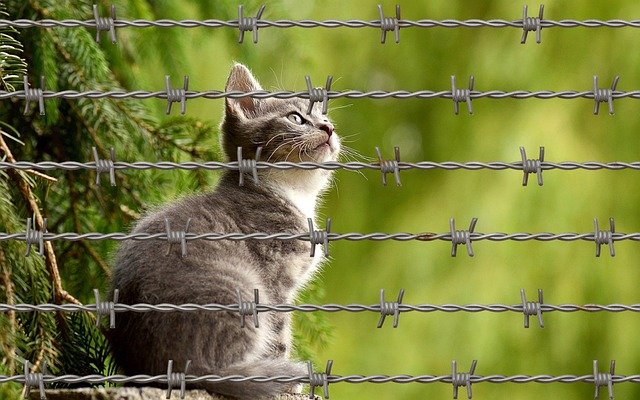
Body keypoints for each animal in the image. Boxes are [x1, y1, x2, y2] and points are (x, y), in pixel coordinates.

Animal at [109, 64, 340, 398]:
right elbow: (279, 333)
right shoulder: (275, 282)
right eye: (296, 118)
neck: (290, 193)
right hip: (241, 287)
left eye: (325, 118)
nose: (328, 128)